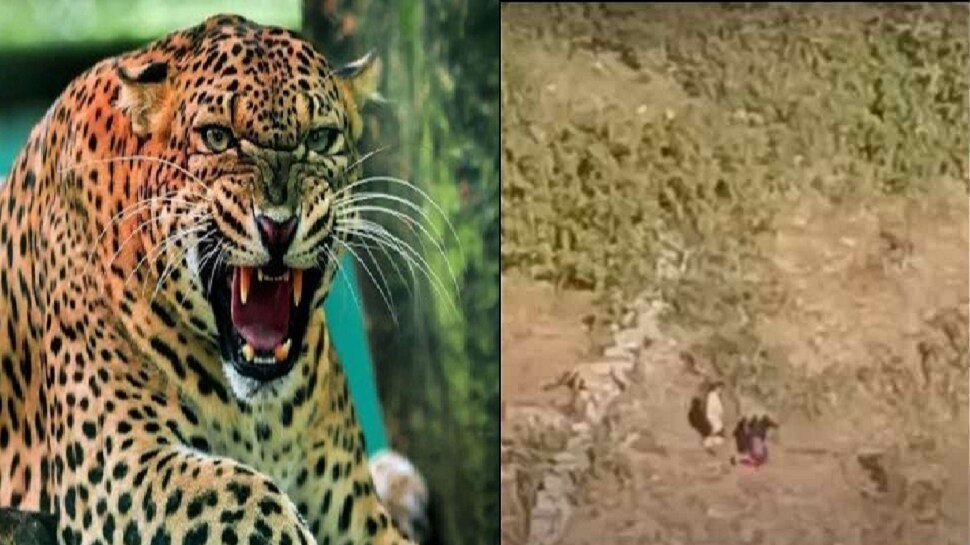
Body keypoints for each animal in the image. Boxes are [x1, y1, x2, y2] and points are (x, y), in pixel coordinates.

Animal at [0, 13, 425, 545]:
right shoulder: (113, 467)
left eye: (320, 139)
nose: (279, 224)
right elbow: (244, 493)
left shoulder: (355, 508)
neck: (264, 419)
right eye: (218, 137)